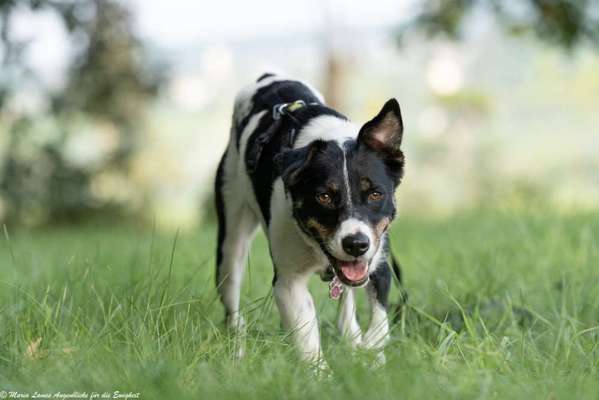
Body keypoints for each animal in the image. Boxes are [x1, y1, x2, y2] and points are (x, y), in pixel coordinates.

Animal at [213, 73, 406, 368]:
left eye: (375, 194)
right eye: (324, 197)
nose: (355, 244)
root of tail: (268, 77)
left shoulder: (379, 260)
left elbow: (379, 321)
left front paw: (369, 355)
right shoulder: (288, 282)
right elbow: (307, 338)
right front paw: (322, 375)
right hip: (230, 239)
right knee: (232, 299)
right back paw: (238, 351)